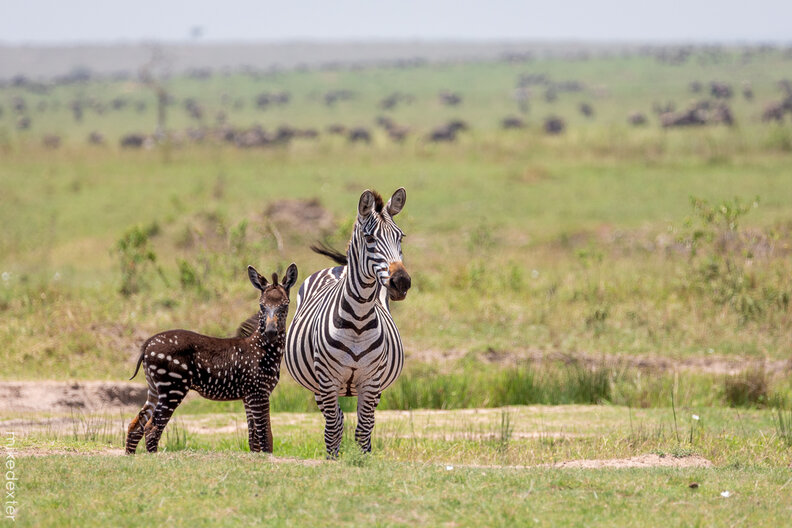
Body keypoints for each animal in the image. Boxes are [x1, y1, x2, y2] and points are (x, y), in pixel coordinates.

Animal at [125, 263, 298, 454]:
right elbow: (266, 438)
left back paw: (131, 456)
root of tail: (148, 344)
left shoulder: (249, 396)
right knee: (152, 428)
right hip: (173, 388)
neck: (263, 349)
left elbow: (254, 441)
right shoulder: (258, 393)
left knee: (135, 426)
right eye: (262, 306)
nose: (271, 332)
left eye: (285, 306)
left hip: (155, 389)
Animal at [284, 188, 411, 458]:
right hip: (319, 386)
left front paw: (364, 460)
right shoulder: (327, 380)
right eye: (369, 238)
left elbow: (364, 429)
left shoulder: (372, 381)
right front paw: (333, 460)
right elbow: (333, 429)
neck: (359, 321)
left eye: (400, 237)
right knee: (336, 421)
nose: (402, 282)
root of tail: (337, 268)